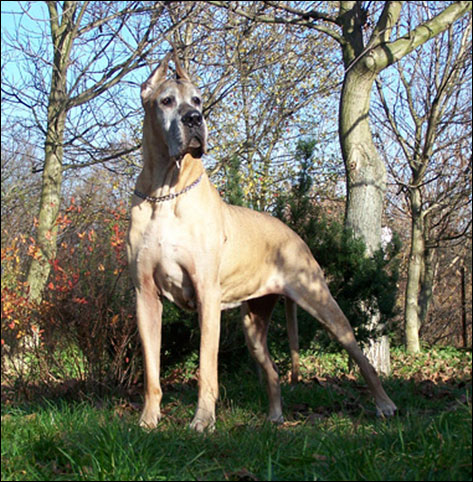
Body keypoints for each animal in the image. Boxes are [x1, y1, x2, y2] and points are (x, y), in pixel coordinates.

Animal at [127, 52, 397, 432]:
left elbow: (207, 369)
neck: (165, 192)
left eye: (197, 100)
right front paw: (148, 421)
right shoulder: (145, 296)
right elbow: (152, 370)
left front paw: (203, 422)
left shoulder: (207, 295)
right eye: (166, 101)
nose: (194, 119)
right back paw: (274, 416)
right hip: (253, 322)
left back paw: (385, 404)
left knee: (362, 358)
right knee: (272, 371)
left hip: (323, 303)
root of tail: (293, 234)